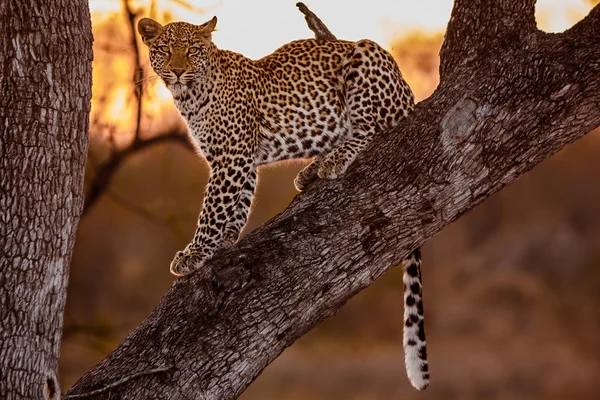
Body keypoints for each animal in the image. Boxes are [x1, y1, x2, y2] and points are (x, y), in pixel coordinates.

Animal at [139, 17, 432, 390]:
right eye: (164, 50)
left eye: (191, 50)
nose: (177, 71)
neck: (190, 96)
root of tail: (408, 93)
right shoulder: (243, 161)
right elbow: (236, 205)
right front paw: (224, 241)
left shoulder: (231, 157)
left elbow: (213, 209)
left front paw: (194, 253)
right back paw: (310, 171)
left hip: (365, 59)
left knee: (370, 129)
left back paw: (332, 161)